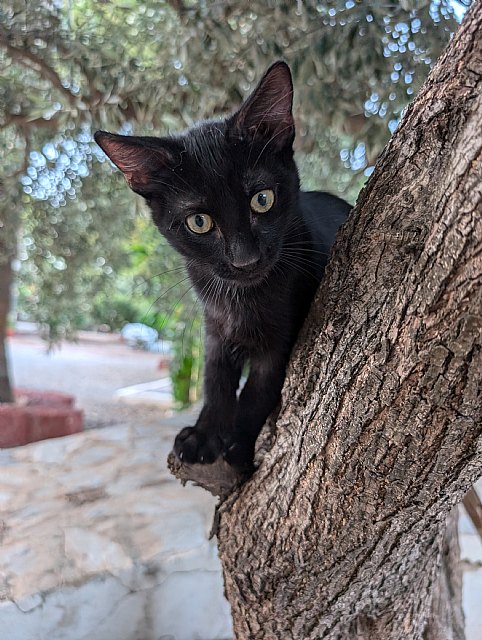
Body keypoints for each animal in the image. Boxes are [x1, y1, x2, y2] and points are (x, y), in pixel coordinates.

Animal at [95, 63, 350, 476]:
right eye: (199, 222)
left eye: (262, 199)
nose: (245, 259)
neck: (241, 300)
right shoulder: (214, 326)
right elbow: (215, 380)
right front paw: (204, 436)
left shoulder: (282, 339)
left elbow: (258, 391)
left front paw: (239, 448)